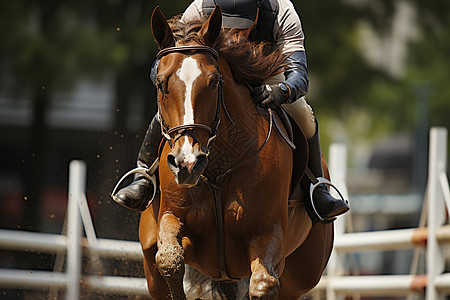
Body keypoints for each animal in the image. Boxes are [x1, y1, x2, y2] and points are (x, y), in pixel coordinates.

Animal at [140, 5, 334, 298]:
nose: (187, 164)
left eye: (214, 82)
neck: (219, 165)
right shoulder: (173, 219)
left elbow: (263, 284)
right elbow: (169, 260)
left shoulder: (267, 231)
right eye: (161, 83)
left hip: (301, 274)